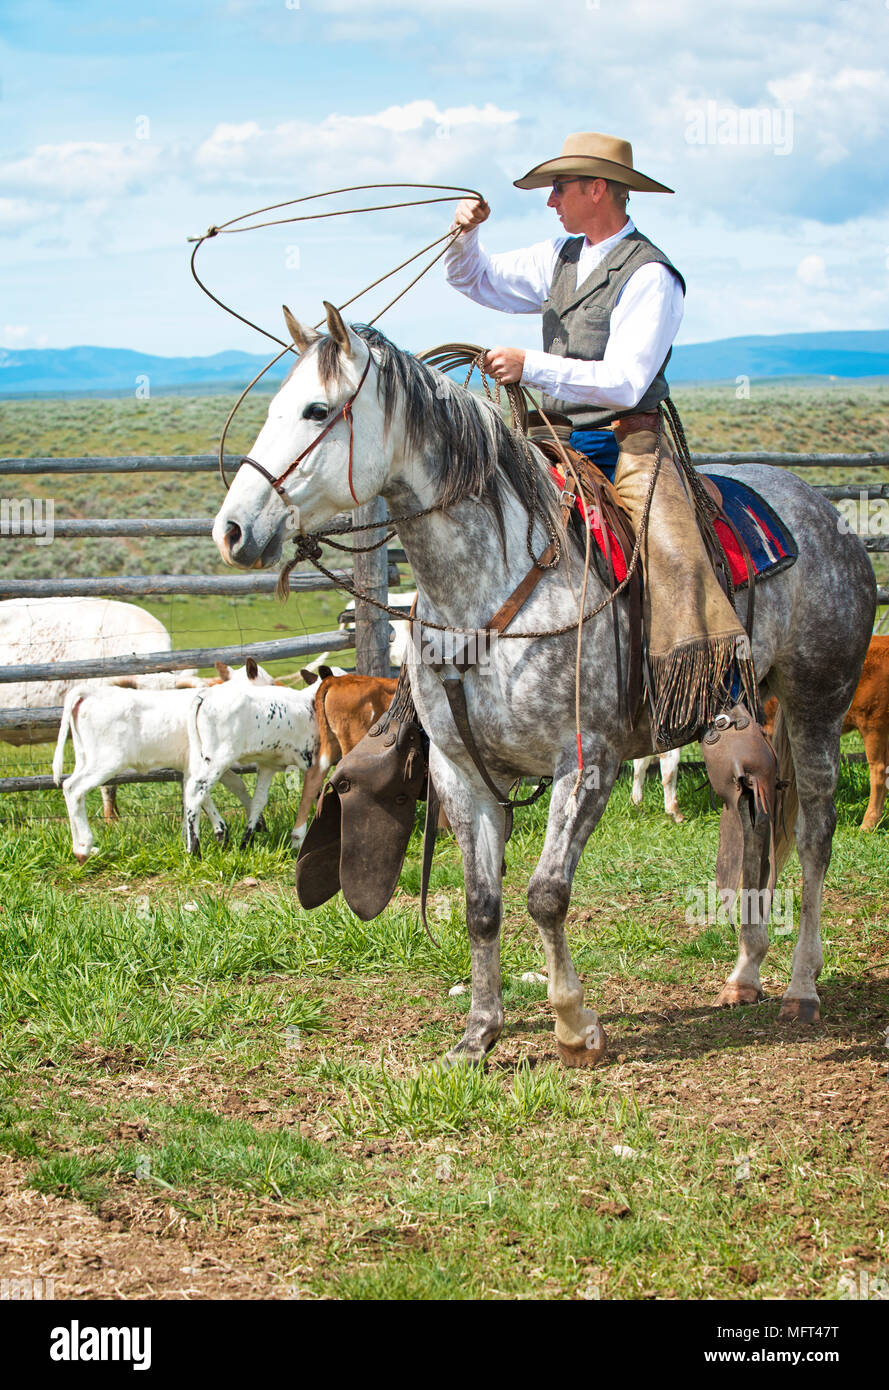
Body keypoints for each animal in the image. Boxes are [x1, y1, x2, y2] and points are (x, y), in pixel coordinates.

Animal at [52, 658, 275, 861]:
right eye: (271, 683)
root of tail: (92, 692)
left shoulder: (193, 765)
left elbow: (221, 789)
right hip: (106, 761)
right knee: (74, 789)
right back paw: (83, 848)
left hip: (84, 758)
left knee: (67, 787)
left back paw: (80, 847)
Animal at [181, 675, 318, 850]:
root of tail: (206, 694)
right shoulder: (310, 761)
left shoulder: (268, 766)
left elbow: (259, 800)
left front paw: (246, 841)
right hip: (218, 758)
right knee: (195, 790)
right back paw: (195, 849)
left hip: (200, 758)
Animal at [213, 304, 877, 1061]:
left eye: (317, 409)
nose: (232, 530)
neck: (491, 591)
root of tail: (826, 514)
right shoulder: (460, 773)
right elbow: (482, 905)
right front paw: (478, 1033)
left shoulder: (586, 765)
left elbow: (546, 894)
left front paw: (574, 1025)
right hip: (755, 711)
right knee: (760, 812)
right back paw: (745, 971)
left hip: (817, 700)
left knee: (815, 831)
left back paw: (801, 985)